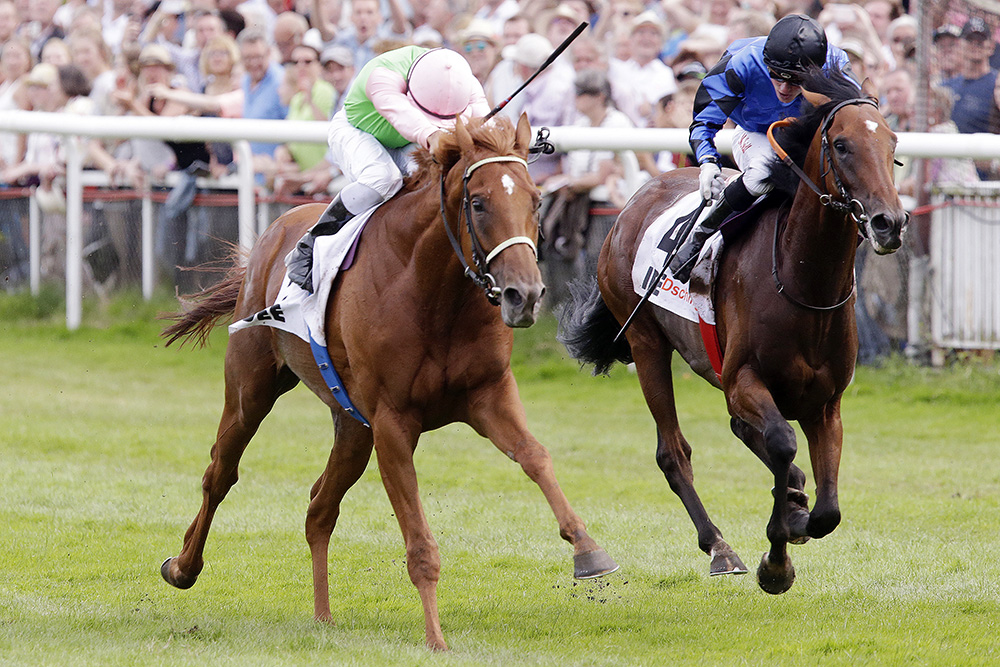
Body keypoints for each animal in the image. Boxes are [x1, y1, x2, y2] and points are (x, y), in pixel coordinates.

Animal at [158, 116, 616, 652]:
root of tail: (274, 233)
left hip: (353, 425)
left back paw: (323, 617)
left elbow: (535, 456)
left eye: (536, 200)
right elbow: (419, 541)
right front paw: (436, 637)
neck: (433, 291)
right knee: (220, 473)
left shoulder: (489, 395)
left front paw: (588, 550)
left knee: (319, 507)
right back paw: (183, 567)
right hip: (252, 389)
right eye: (479, 203)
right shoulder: (393, 423)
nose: (525, 295)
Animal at [560, 66, 912, 596]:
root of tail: (634, 200)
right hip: (646, 343)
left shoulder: (826, 402)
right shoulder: (744, 378)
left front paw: (797, 512)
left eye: (892, 142)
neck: (803, 280)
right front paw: (777, 560)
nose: (889, 222)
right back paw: (719, 546)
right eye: (843, 145)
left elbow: (828, 509)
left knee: (743, 432)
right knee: (674, 452)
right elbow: (782, 443)